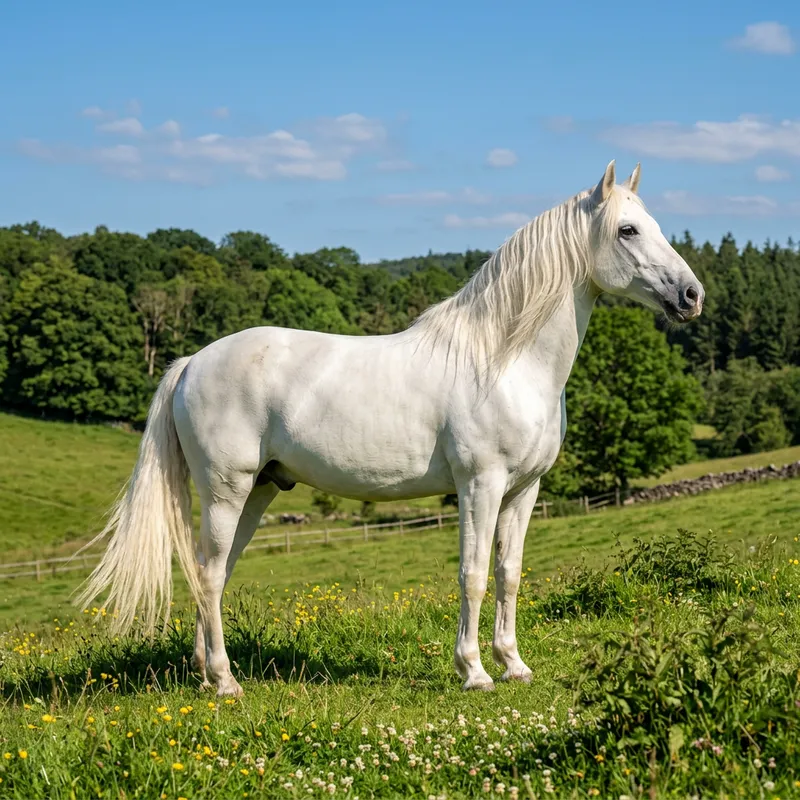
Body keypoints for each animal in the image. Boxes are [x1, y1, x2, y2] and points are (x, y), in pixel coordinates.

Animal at [76, 160, 704, 697]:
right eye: (627, 230)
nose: (692, 295)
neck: (504, 360)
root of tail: (190, 363)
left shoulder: (524, 490)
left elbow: (509, 573)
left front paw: (514, 665)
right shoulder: (480, 485)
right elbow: (473, 574)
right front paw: (474, 672)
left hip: (256, 492)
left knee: (216, 573)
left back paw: (206, 674)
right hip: (226, 491)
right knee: (208, 577)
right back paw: (227, 682)